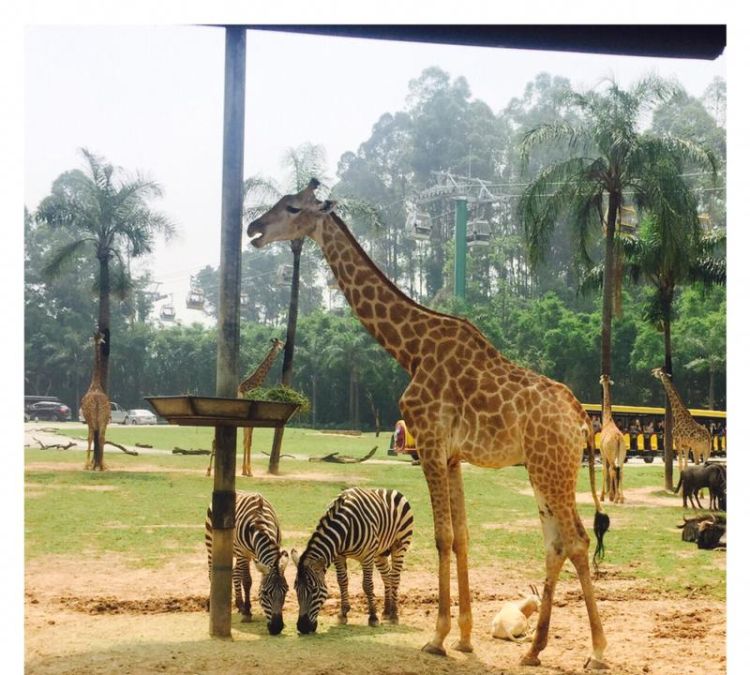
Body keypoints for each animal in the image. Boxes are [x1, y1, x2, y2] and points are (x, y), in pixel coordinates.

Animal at [206, 336, 284, 476]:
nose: (284, 346)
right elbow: (249, 441)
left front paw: (244, 470)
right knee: (215, 440)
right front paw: (249, 471)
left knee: (215, 440)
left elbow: (245, 441)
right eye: (279, 343)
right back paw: (209, 471)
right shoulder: (251, 419)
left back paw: (209, 471)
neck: (249, 386)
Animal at [206, 492, 290, 632]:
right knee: (213, 573)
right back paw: (212, 604)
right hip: (211, 543)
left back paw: (240, 604)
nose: (276, 627)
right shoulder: (243, 554)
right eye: (265, 593)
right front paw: (246, 612)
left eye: (286, 590)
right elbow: (246, 581)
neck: (260, 525)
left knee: (235, 573)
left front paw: (247, 608)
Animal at [290, 486, 414, 632]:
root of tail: (390, 490)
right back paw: (386, 612)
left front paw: (373, 617)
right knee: (386, 576)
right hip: (380, 553)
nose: (302, 627)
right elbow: (342, 581)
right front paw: (343, 614)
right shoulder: (339, 556)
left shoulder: (367, 556)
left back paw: (394, 614)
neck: (343, 528)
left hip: (400, 545)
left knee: (394, 576)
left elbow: (367, 585)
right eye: (296, 589)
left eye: (314, 590)